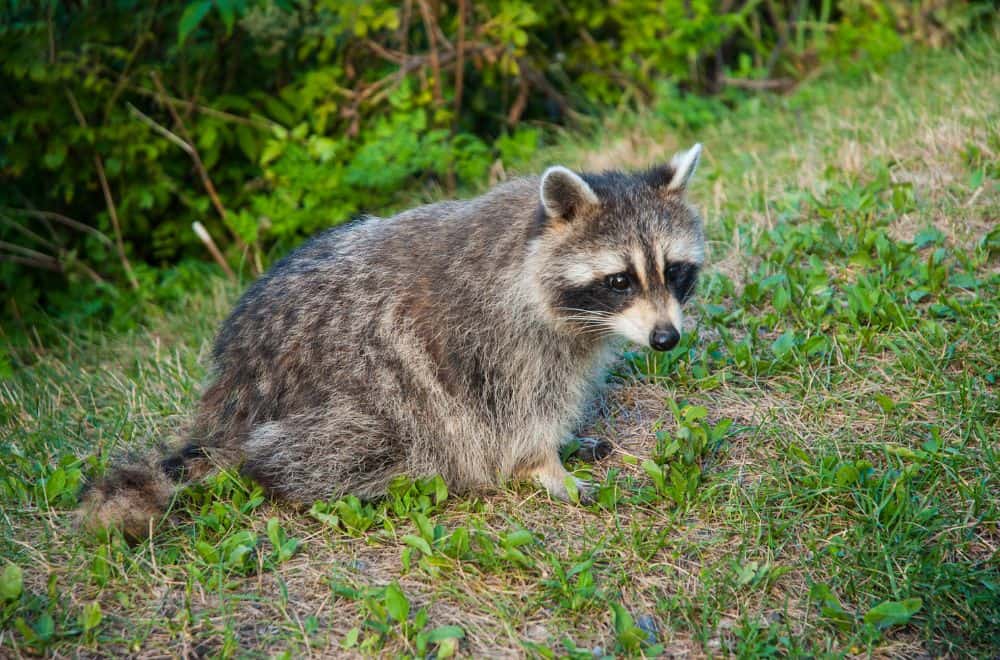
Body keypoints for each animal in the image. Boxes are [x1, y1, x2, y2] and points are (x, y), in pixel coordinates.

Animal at [76, 142, 704, 540]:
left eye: (674, 271)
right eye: (619, 280)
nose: (665, 338)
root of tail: (230, 391)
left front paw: (565, 443)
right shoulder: (495, 338)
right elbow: (517, 411)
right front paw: (544, 465)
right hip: (348, 395)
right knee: (346, 446)